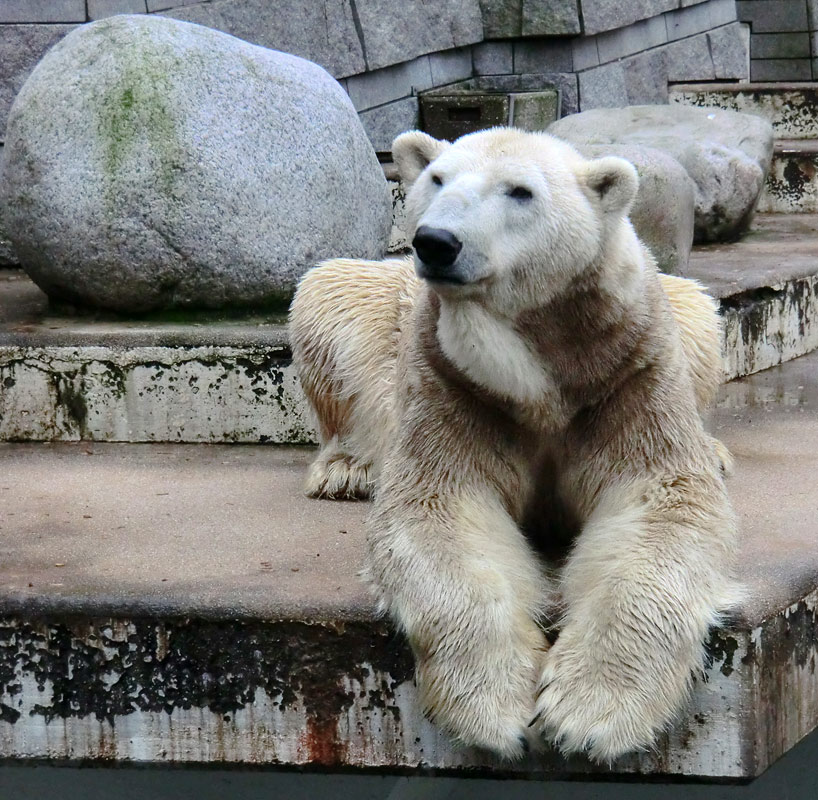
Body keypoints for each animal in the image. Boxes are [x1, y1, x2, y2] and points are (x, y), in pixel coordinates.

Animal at [288, 130, 740, 764]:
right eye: (438, 179)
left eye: (520, 191)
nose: (436, 242)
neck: (542, 369)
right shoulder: (451, 381)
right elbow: (442, 506)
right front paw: (497, 708)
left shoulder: (627, 372)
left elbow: (664, 500)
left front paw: (589, 715)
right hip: (371, 313)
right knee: (327, 294)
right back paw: (347, 469)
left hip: (683, 313)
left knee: (702, 314)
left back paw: (715, 451)